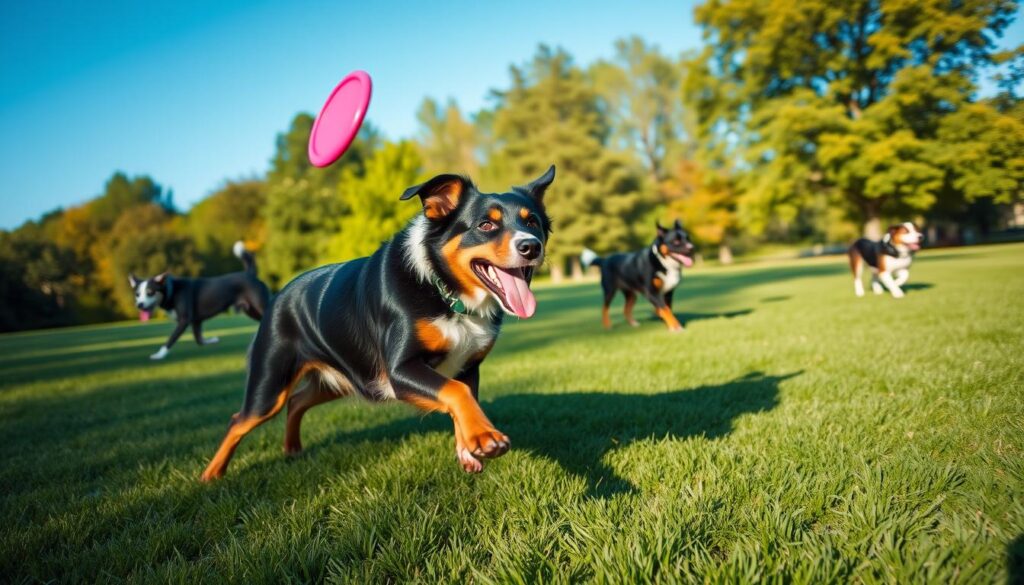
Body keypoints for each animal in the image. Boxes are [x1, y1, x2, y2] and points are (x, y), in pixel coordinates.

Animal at [128, 240, 270, 358]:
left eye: (150, 292)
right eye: (137, 294)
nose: (139, 305)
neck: (172, 290)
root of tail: (249, 274)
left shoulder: (184, 321)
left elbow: (170, 339)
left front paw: (159, 354)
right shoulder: (196, 321)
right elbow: (200, 340)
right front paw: (213, 340)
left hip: (260, 306)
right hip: (251, 311)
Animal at [197, 166, 552, 483]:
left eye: (532, 221)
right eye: (486, 224)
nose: (531, 246)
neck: (445, 292)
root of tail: (276, 298)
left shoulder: (468, 365)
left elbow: (464, 397)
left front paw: (470, 445)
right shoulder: (399, 370)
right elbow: (456, 392)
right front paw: (485, 438)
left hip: (337, 380)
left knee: (296, 401)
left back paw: (292, 449)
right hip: (271, 382)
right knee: (238, 420)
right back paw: (211, 474)